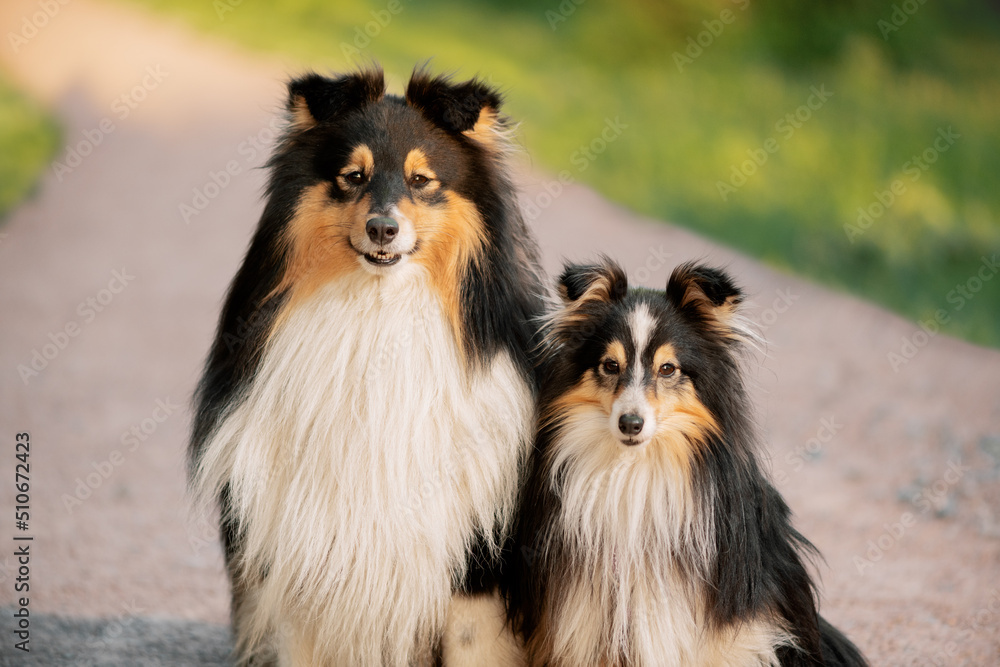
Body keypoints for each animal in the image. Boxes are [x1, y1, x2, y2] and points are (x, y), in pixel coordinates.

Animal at [190, 68, 544, 667]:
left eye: (421, 180)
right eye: (353, 177)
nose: (382, 229)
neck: (376, 313)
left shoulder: (474, 568)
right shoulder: (298, 566)